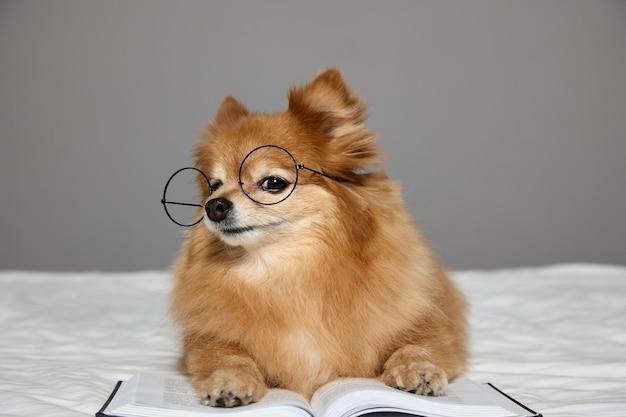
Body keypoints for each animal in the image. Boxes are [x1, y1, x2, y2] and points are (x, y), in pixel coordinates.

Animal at [168, 68, 466, 406]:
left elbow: (417, 346)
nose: (214, 206)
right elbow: (227, 355)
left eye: (273, 183)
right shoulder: (208, 338)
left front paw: (419, 370)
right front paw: (228, 381)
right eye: (214, 186)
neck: (289, 271)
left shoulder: (431, 325)